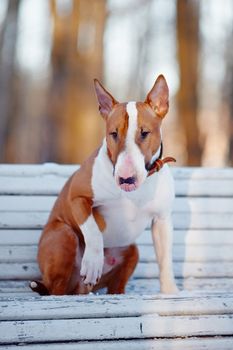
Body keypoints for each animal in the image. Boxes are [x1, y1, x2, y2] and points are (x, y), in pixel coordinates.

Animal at [30, 74, 178, 296]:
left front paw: (170, 291)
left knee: (116, 287)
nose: (126, 179)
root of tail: (79, 288)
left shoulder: (162, 219)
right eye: (113, 134)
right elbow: (92, 230)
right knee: (57, 289)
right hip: (63, 235)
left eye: (144, 133)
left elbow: (165, 259)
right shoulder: (77, 197)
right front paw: (92, 263)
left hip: (132, 251)